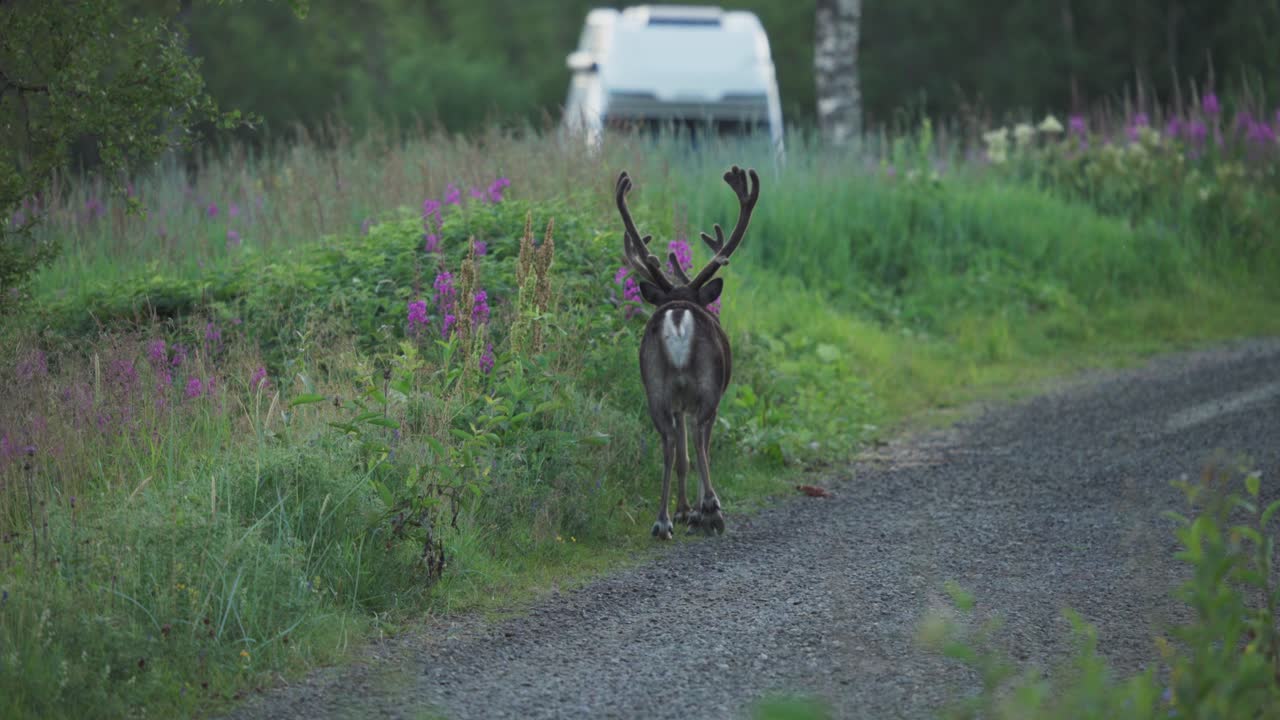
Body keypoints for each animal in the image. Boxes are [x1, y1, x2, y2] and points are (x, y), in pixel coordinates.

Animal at [615, 165, 760, 540]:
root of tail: (679, 316)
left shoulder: (678, 402)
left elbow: (682, 458)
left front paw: (681, 511)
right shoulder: (703, 397)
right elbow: (699, 449)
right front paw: (697, 510)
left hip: (656, 386)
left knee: (669, 443)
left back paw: (662, 521)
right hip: (706, 386)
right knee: (698, 438)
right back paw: (711, 510)